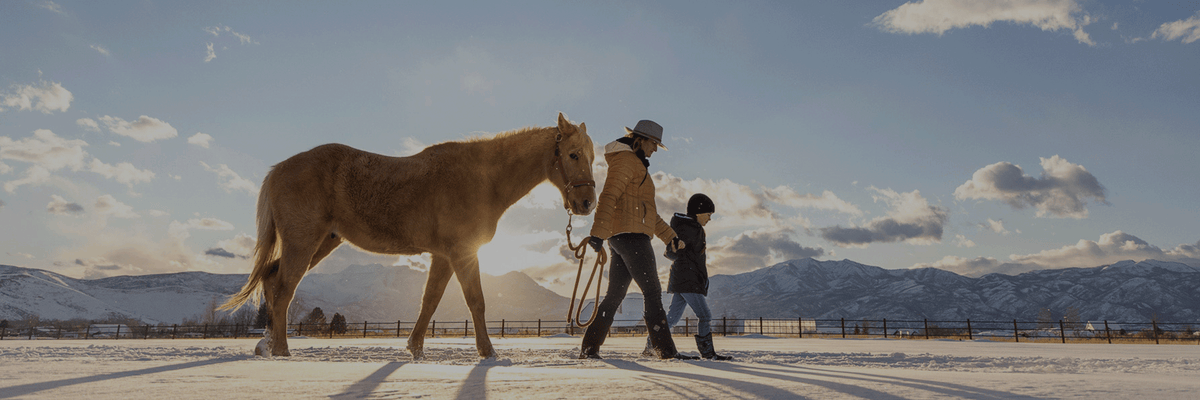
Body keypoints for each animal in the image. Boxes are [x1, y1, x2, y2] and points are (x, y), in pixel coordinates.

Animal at [219, 112, 595, 357]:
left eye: (593, 157)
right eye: (573, 155)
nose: (587, 202)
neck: (482, 179)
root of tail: (278, 169)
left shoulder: (443, 256)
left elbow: (429, 302)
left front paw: (415, 349)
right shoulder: (462, 252)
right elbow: (476, 301)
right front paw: (487, 352)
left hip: (322, 242)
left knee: (271, 280)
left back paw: (266, 345)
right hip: (304, 242)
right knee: (283, 289)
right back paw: (282, 351)